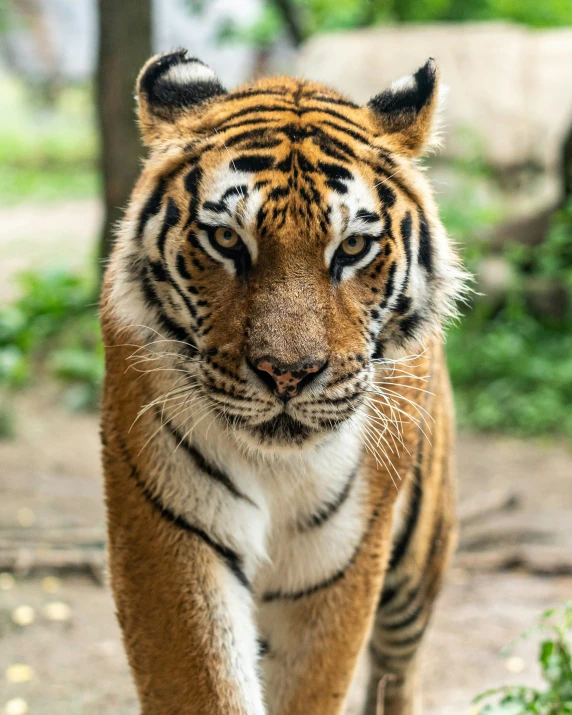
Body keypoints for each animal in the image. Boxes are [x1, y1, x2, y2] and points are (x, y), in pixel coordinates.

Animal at [100, 50, 466, 715]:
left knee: (399, 668)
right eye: (226, 239)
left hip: (417, 558)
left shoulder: (340, 557)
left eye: (353, 247)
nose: (287, 374)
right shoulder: (171, 529)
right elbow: (204, 682)